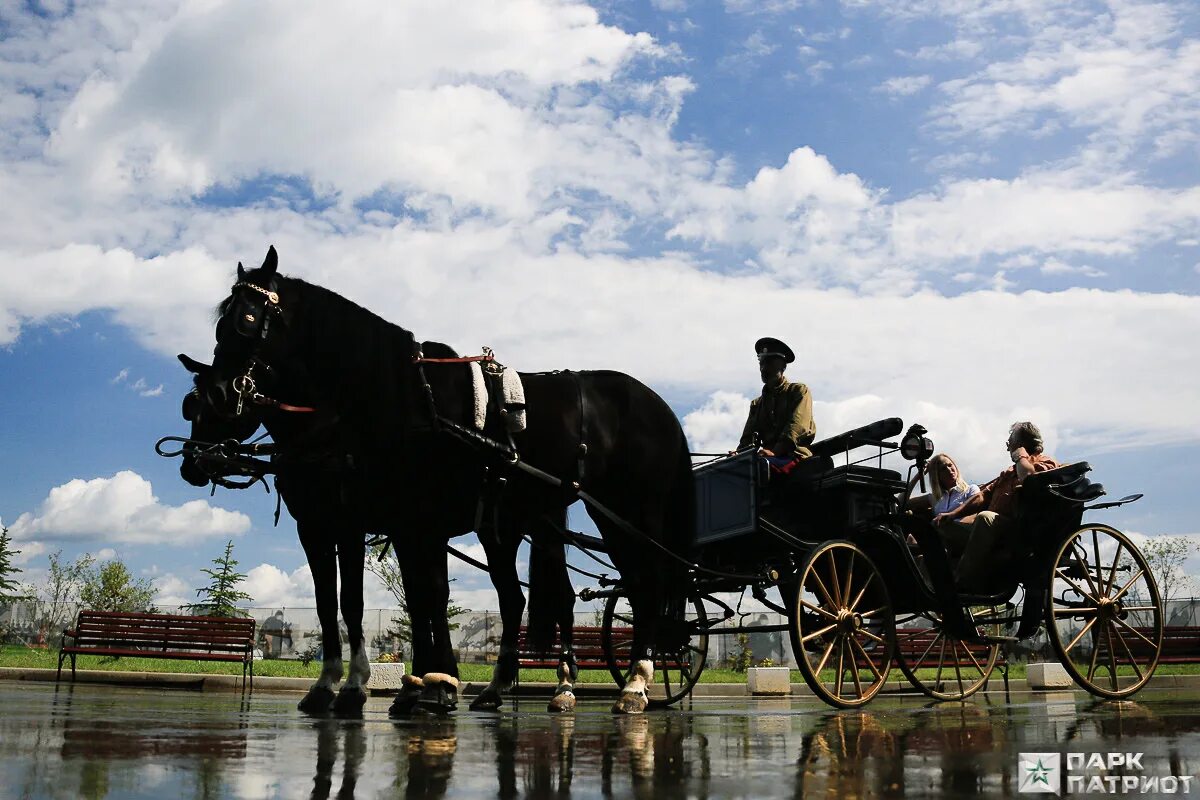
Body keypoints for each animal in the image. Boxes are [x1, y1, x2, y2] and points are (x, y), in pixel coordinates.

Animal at [192, 247, 691, 714]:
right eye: (218, 326)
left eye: (246, 320)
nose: (214, 395)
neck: (404, 398)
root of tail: (658, 405)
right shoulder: (383, 524)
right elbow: (397, 598)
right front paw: (418, 684)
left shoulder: (400, 522)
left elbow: (421, 596)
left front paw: (431, 683)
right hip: (513, 527)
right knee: (528, 598)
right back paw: (512, 686)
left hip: (630, 514)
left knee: (645, 585)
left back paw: (634, 682)